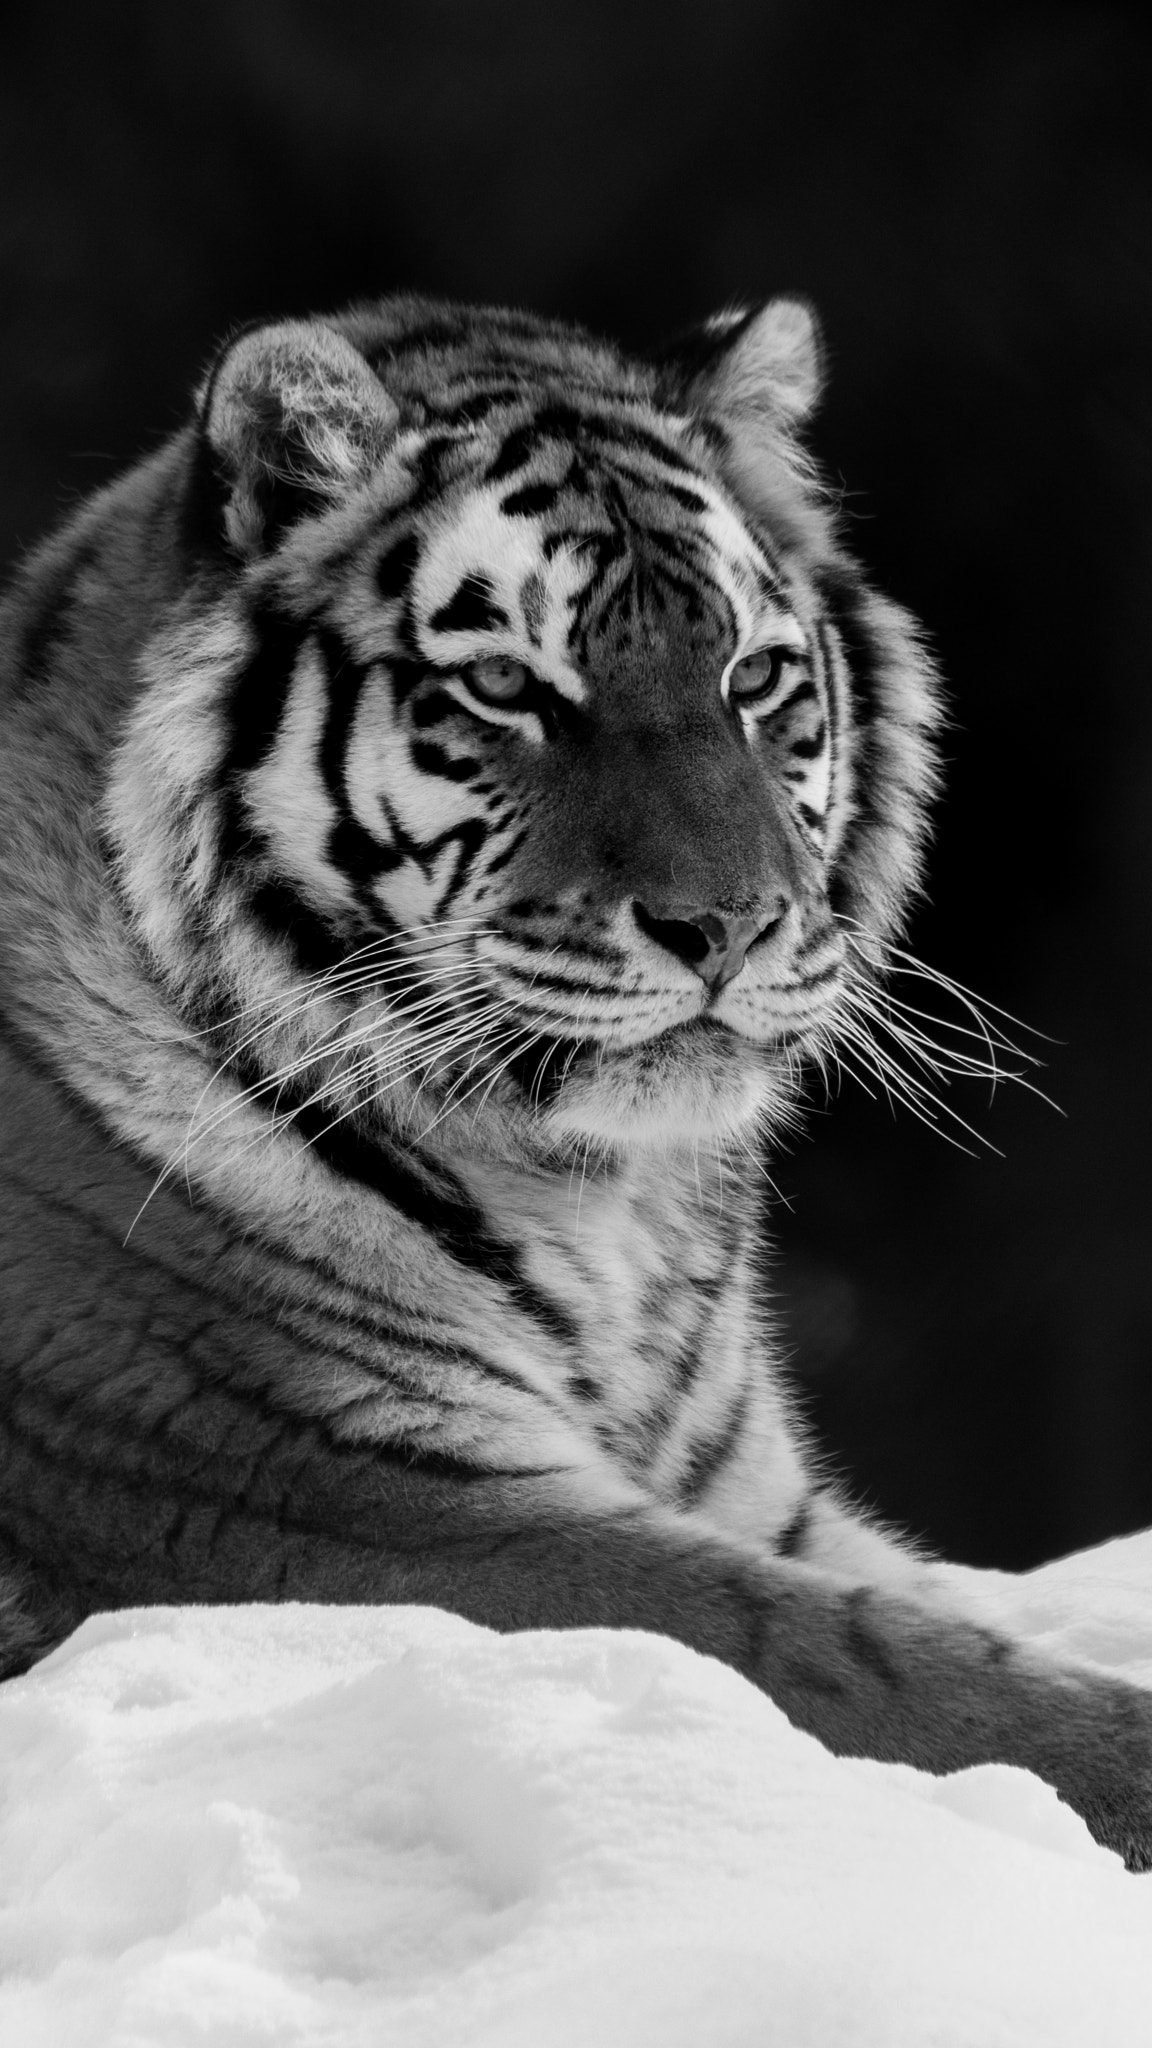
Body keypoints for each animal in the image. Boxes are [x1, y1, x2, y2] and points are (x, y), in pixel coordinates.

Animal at [1, 291, 1149, 1869]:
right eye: (504, 687)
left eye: (754, 678)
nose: (728, 924)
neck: (603, 1202)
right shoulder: (343, 1502)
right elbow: (885, 1665)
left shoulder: (754, 1496)